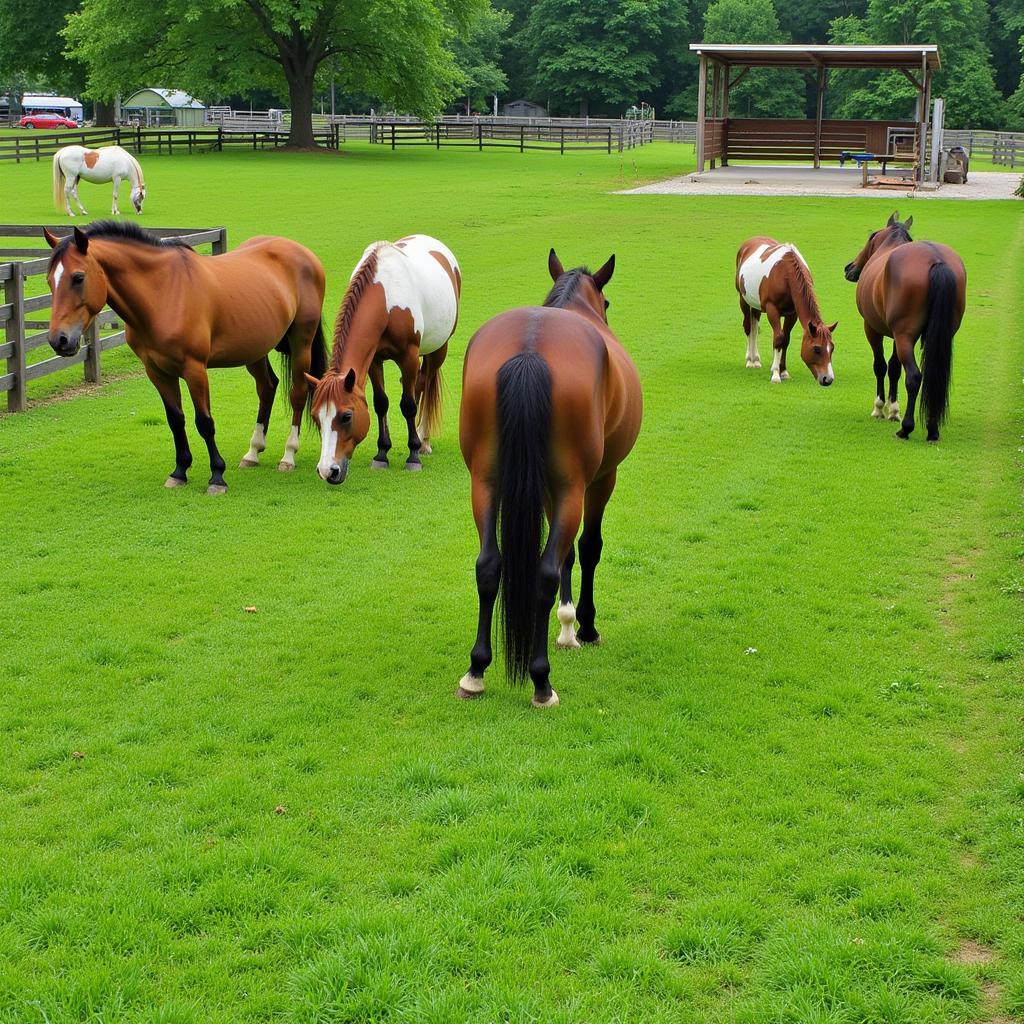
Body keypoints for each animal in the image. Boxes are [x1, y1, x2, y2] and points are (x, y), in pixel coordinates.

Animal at [43, 222, 323, 493]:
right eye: (49, 281)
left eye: (78, 278)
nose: (59, 340)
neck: (163, 294)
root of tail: (302, 252)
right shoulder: (157, 371)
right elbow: (175, 420)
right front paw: (179, 472)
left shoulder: (194, 370)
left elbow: (204, 422)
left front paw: (217, 477)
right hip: (255, 349)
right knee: (267, 387)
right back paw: (253, 452)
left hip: (301, 342)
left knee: (298, 393)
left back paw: (288, 455)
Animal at [305, 235, 462, 483]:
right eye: (315, 417)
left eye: (346, 416)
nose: (327, 470)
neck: (386, 299)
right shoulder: (374, 360)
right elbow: (381, 403)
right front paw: (382, 454)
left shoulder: (408, 356)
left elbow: (407, 405)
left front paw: (413, 457)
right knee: (418, 384)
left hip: (438, 348)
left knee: (426, 383)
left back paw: (423, 441)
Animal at [456, 251, 638, 708]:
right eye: (607, 303)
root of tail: (530, 349)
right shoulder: (600, 479)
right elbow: (587, 549)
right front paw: (582, 627)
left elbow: (565, 553)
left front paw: (567, 625)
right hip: (574, 488)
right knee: (544, 571)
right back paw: (541, 681)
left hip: (485, 482)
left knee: (489, 565)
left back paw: (475, 672)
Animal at [737, 235, 839, 387]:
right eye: (816, 349)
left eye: (831, 348)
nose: (828, 379)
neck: (785, 273)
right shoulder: (772, 310)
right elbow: (778, 339)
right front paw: (775, 374)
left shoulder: (792, 314)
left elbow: (785, 339)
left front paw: (783, 371)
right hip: (743, 300)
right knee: (749, 328)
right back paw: (750, 360)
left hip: (755, 304)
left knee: (754, 329)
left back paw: (756, 359)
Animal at [843, 211, 962, 440]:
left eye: (871, 236)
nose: (849, 268)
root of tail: (937, 260)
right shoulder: (898, 336)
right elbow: (894, 368)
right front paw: (893, 409)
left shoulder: (873, 329)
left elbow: (881, 366)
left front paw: (880, 408)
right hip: (931, 337)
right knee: (933, 378)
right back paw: (932, 429)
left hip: (903, 337)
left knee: (914, 377)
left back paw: (906, 428)